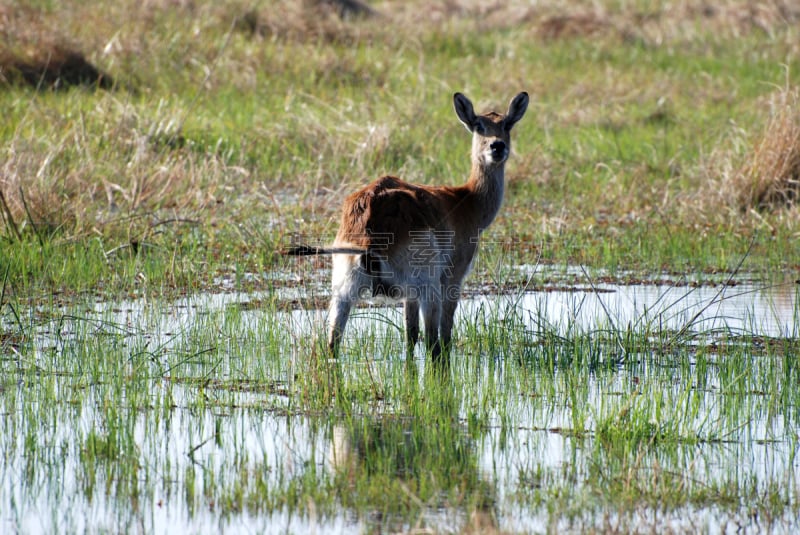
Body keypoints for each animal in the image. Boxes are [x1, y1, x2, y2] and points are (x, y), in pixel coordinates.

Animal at [284, 92, 528, 360]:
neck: (466, 200)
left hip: (343, 291)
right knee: (434, 344)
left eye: (506, 124)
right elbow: (444, 335)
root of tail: (368, 233)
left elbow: (410, 335)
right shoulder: (452, 279)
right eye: (479, 125)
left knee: (333, 341)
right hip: (428, 287)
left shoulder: (408, 295)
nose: (497, 146)